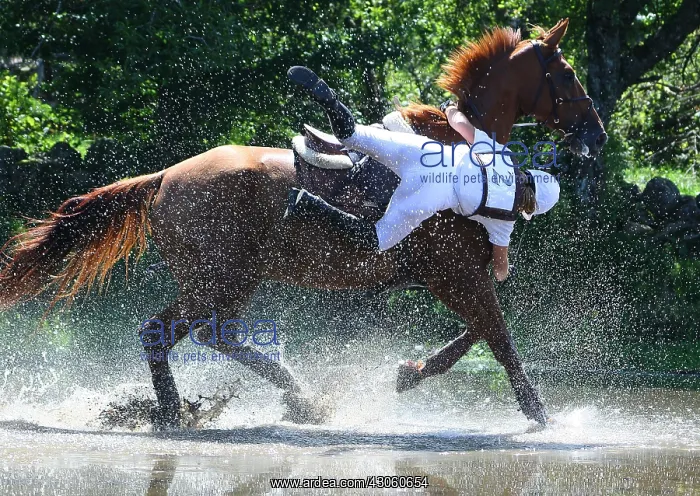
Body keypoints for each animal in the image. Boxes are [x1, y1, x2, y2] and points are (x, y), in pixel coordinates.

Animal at [0, 19, 606, 428]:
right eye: (567, 74)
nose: (597, 134)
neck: (462, 149)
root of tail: (166, 176)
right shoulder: (454, 275)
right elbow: (498, 337)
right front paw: (538, 413)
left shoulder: (456, 278)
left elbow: (478, 335)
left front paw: (408, 373)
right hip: (217, 277)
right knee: (168, 333)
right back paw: (180, 414)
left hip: (230, 280)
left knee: (212, 334)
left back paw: (294, 399)